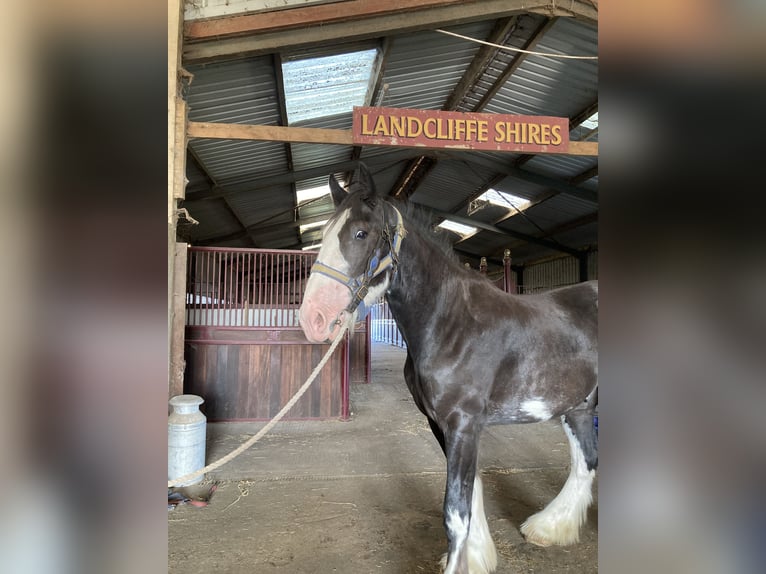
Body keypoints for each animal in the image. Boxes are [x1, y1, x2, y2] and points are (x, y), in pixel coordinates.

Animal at [300, 164, 600, 572]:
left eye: (361, 233)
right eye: (326, 234)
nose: (311, 318)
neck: (453, 321)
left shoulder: (464, 424)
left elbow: (455, 512)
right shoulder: (439, 422)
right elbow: (470, 495)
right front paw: (478, 557)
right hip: (579, 406)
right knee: (586, 460)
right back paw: (549, 528)